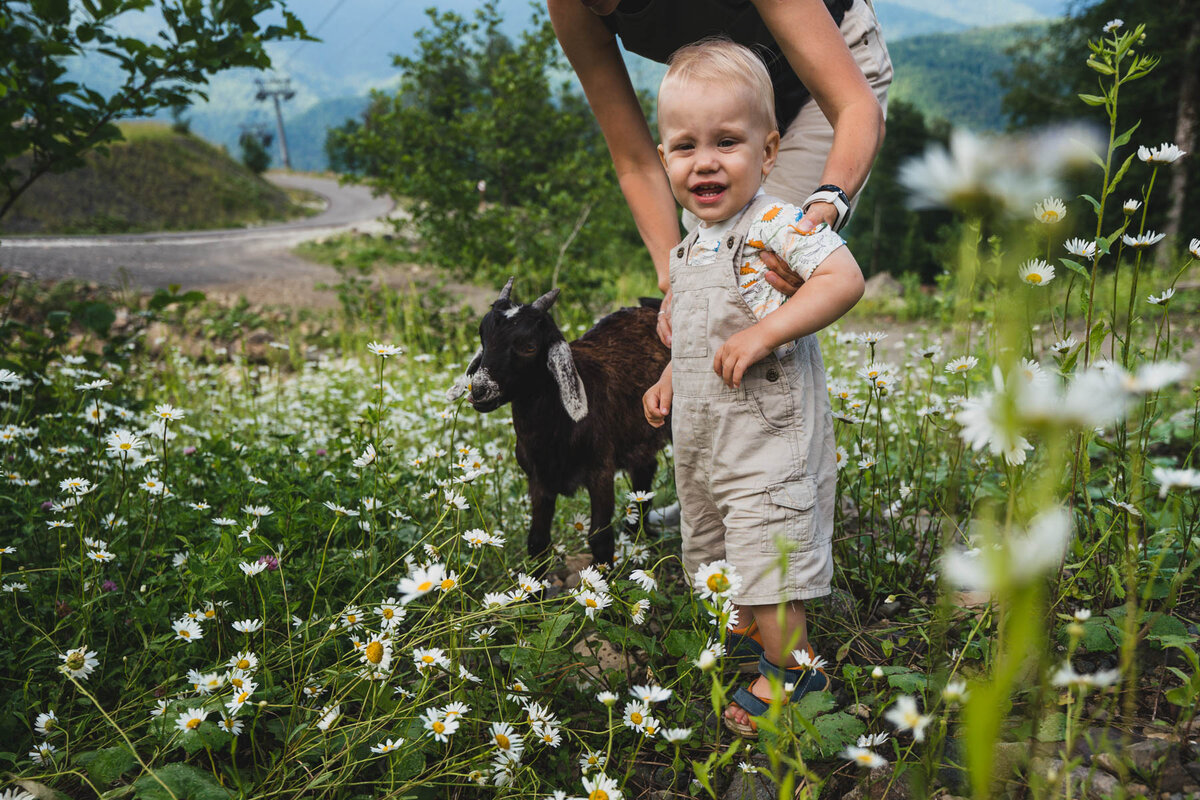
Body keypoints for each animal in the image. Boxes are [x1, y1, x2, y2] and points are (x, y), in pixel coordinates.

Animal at [451, 278, 672, 566]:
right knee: (645, 473)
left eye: (529, 346)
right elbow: (537, 543)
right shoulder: (539, 479)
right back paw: (635, 535)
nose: (479, 390)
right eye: (482, 337)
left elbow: (600, 538)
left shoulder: (601, 471)